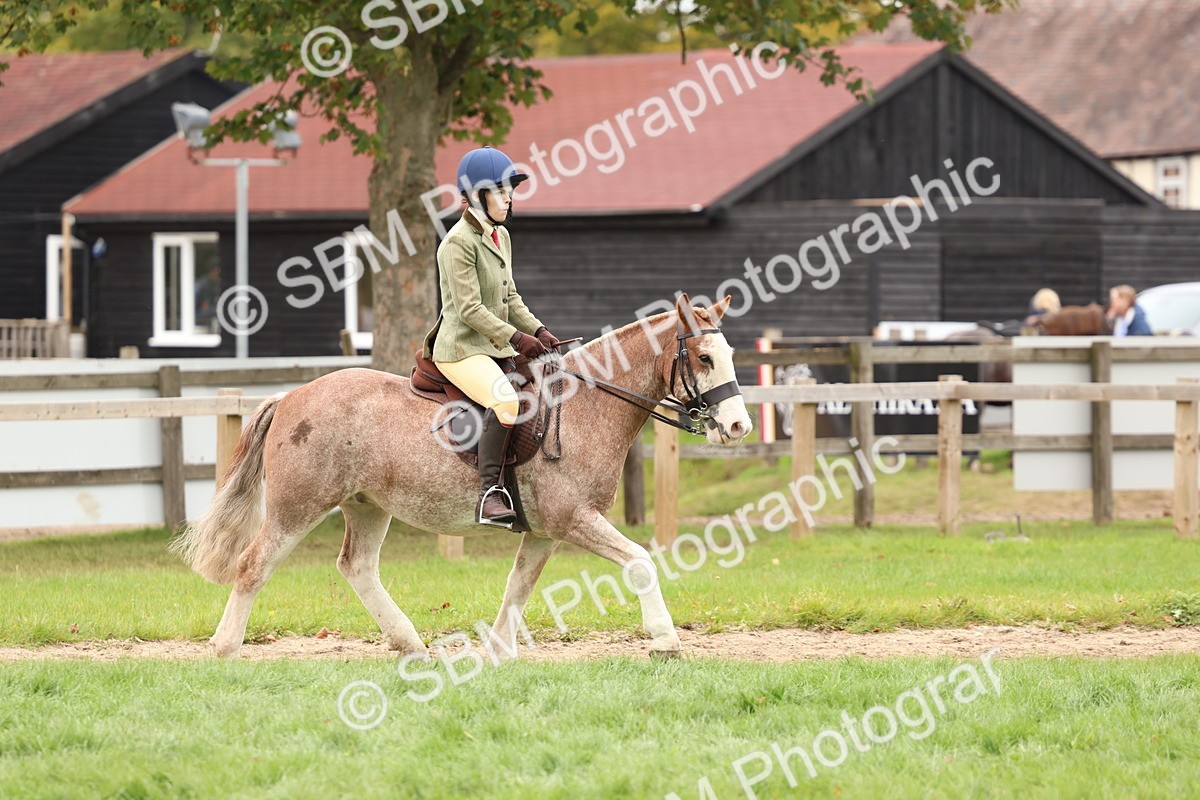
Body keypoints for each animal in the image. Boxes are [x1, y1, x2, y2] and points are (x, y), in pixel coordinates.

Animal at [171, 293, 754, 659]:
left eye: (728, 353)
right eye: (704, 357)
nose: (738, 426)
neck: (584, 403)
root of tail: (291, 395)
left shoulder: (545, 532)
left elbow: (518, 586)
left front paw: (497, 651)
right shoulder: (574, 519)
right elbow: (639, 562)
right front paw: (665, 640)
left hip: (367, 505)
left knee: (357, 567)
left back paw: (409, 644)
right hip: (298, 506)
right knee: (253, 566)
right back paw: (225, 647)